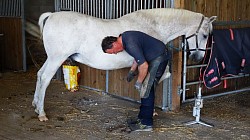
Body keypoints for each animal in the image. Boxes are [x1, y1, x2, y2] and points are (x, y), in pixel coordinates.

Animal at [33, 8, 217, 121]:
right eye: (205, 35)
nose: (197, 57)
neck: (153, 25)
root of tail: (51, 15)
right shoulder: (152, 62)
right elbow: (155, 78)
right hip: (57, 58)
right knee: (45, 78)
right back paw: (42, 113)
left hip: (51, 58)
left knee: (39, 75)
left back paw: (35, 106)